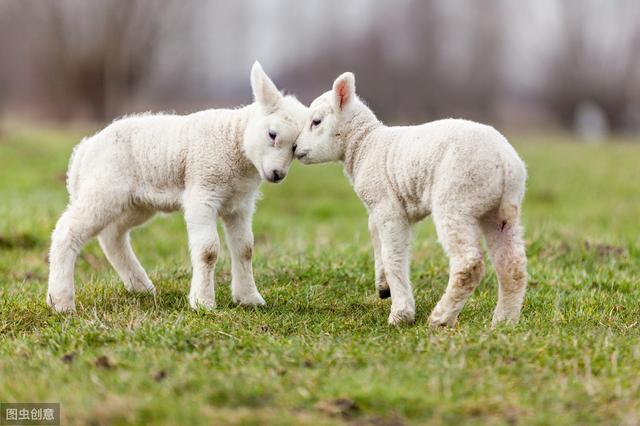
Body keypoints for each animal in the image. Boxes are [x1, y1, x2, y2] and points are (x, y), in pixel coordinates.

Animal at [46, 61, 306, 312]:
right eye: (272, 134)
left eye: (295, 148)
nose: (277, 174)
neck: (234, 141)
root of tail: (83, 151)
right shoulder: (202, 193)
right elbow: (208, 251)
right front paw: (203, 302)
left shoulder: (240, 204)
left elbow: (245, 249)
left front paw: (249, 299)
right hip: (104, 188)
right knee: (67, 231)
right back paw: (61, 301)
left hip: (136, 203)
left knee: (112, 236)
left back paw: (141, 287)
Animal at [292, 72, 528, 326]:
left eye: (316, 122)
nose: (294, 147)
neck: (365, 145)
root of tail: (506, 162)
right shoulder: (378, 207)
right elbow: (376, 239)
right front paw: (383, 286)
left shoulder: (388, 207)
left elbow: (392, 255)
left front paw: (401, 313)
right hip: (497, 212)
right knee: (512, 265)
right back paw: (503, 322)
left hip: (457, 198)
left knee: (469, 264)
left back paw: (440, 318)